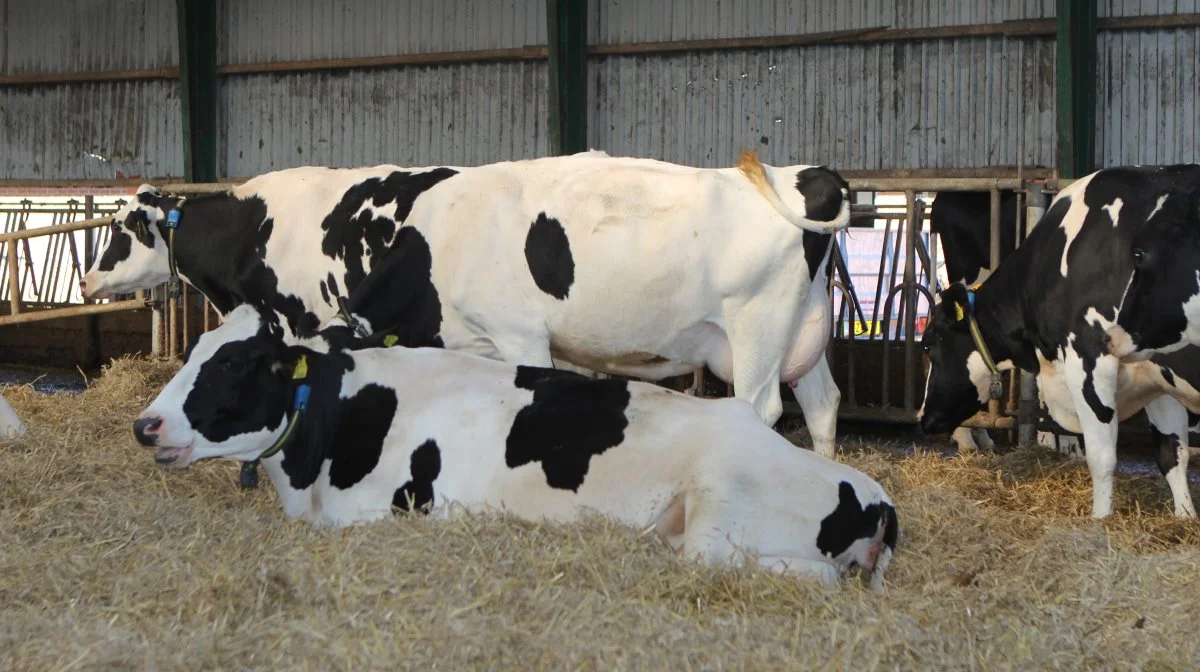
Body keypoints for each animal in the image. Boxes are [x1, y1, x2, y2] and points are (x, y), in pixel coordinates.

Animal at [131, 306, 902, 592]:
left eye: (236, 363)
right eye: (194, 349)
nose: (146, 425)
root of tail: (878, 497)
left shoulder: (400, 508)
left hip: (716, 512)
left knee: (800, 571)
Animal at [916, 166, 1200, 520]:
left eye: (928, 346)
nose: (923, 418)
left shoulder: (1090, 356)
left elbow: (1104, 457)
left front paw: (1100, 519)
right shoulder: (1156, 374)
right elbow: (1171, 453)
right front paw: (1185, 518)